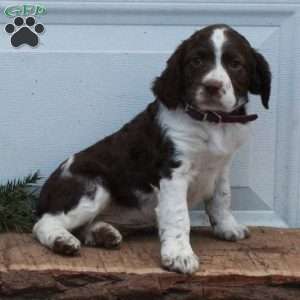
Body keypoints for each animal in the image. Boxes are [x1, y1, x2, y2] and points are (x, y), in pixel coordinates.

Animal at [34, 24, 270, 274]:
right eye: (196, 61)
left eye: (235, 64)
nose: (212, 86)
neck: (211, 122)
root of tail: (45, 191)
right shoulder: (174, 171)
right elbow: (178, 215)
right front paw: (179, 256)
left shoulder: (221, 166)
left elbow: (222, 198)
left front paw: (227, 227)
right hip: (94, 187)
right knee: (44, 222)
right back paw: (62, 241)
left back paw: (102, 233)